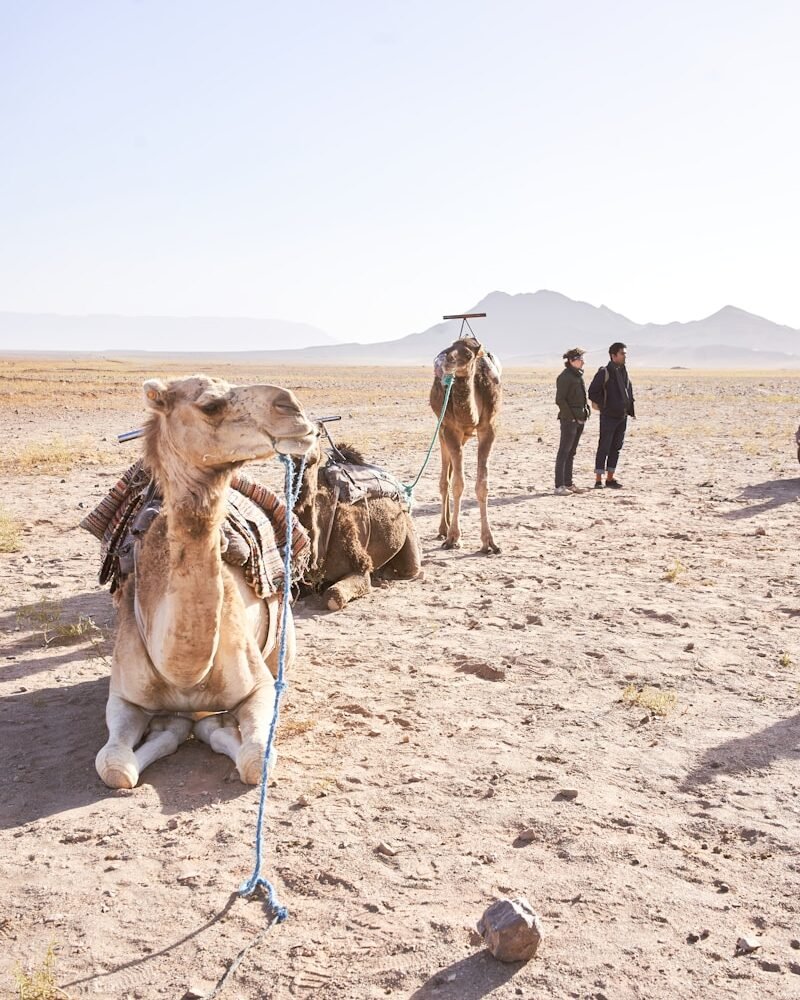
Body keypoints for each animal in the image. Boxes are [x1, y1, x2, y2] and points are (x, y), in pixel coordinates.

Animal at [94, 374, 315, 789]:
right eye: (210, 405)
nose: (292, 409)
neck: (184, 675)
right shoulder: (122, 696)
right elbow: (115, 767)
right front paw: (171, 727)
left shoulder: (260, 688)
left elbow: (256, 758)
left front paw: (216, 726)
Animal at [430, 336, 502, 553]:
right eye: (451, 347)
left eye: (469, 354)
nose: (445, 360)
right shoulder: (450, 429)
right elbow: (457, 484)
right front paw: (453, 537)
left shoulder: (489, 428)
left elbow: (482, 485)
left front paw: (489, 542)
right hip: (441, 429)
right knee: (445, 479)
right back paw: (443, 529)